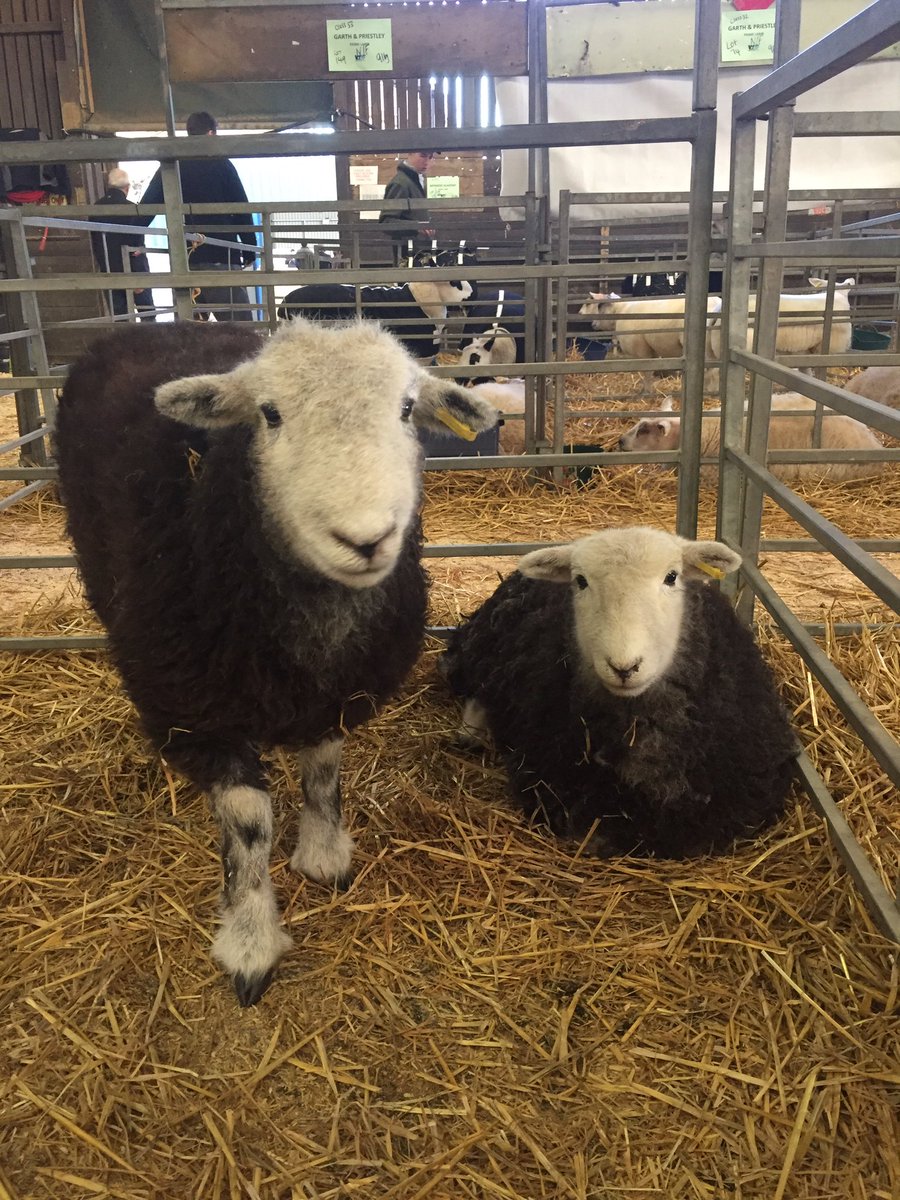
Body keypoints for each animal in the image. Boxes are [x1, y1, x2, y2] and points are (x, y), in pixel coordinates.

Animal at [54, 319, 498, 1006]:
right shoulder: (200, 706)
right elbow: (248, 824)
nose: (366, 540)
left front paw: (323, 854)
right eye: (269, 414)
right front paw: (251, 937)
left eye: (406, 409)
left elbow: (322, 768)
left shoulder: (338, 685)